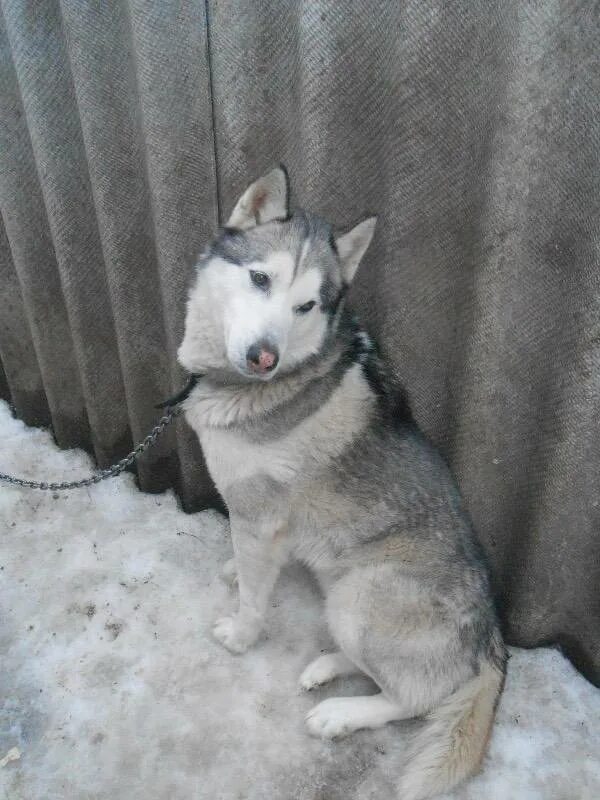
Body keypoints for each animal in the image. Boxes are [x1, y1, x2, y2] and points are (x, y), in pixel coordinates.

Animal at [179, 166, 506, 796]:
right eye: (259, 278)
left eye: (306, 305)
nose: (263, 356)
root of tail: (492, 641)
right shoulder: (264, 523)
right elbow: (250, 565)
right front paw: (235, 569)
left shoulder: (260, 513)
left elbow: (255, 596)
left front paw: (241, 633)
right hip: (343, 593)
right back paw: (328, 666)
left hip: (363, 595)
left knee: (413, 698)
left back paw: (341, 713)